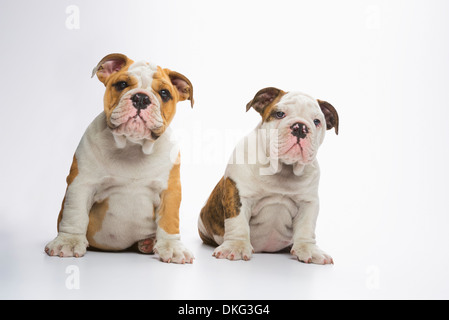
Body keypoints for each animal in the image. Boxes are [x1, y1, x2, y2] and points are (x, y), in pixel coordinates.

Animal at [44, 53, 196, 264]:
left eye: (165, 93)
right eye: (122, 84)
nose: (141, 97)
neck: (132, 146)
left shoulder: (170, 190)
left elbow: (169, 221)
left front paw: (173, 248)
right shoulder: (81, 183)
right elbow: (75, 214)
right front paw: (68, 242)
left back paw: (149, 243)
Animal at [198, 87, 338, 262]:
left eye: (317, 121)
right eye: (279, 114)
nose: (300, 127)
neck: (283, 169)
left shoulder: (308, 203)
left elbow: (306, 227)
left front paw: (309, 249)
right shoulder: (238, 195)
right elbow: (237, 223)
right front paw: (236, 246)